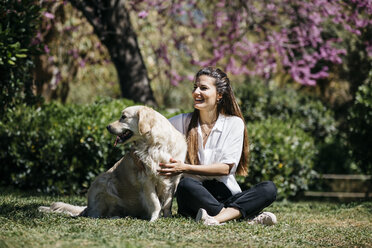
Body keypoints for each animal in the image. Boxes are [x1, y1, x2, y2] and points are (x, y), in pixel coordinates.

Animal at [38, 106, 186, 221]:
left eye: (123, 117)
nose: (107, 126)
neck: (156, 145)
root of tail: (87, 207)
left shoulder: (173, 179)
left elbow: (167, 203)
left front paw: (167, 217)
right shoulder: (146, 180)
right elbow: (155, 202)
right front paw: (154, 218)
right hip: (104, 182)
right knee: (95, 214)